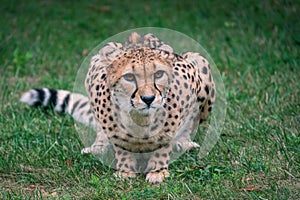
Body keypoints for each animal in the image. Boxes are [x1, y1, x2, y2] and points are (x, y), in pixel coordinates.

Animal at [19, 32, 214, 184]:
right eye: (129, 77)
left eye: (158, 75)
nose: (148, 99)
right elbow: (120, 142)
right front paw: (126, 170)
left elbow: (165, 140)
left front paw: (157, 171)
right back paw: (98, 146)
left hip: (200, 65)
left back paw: (183, 142)